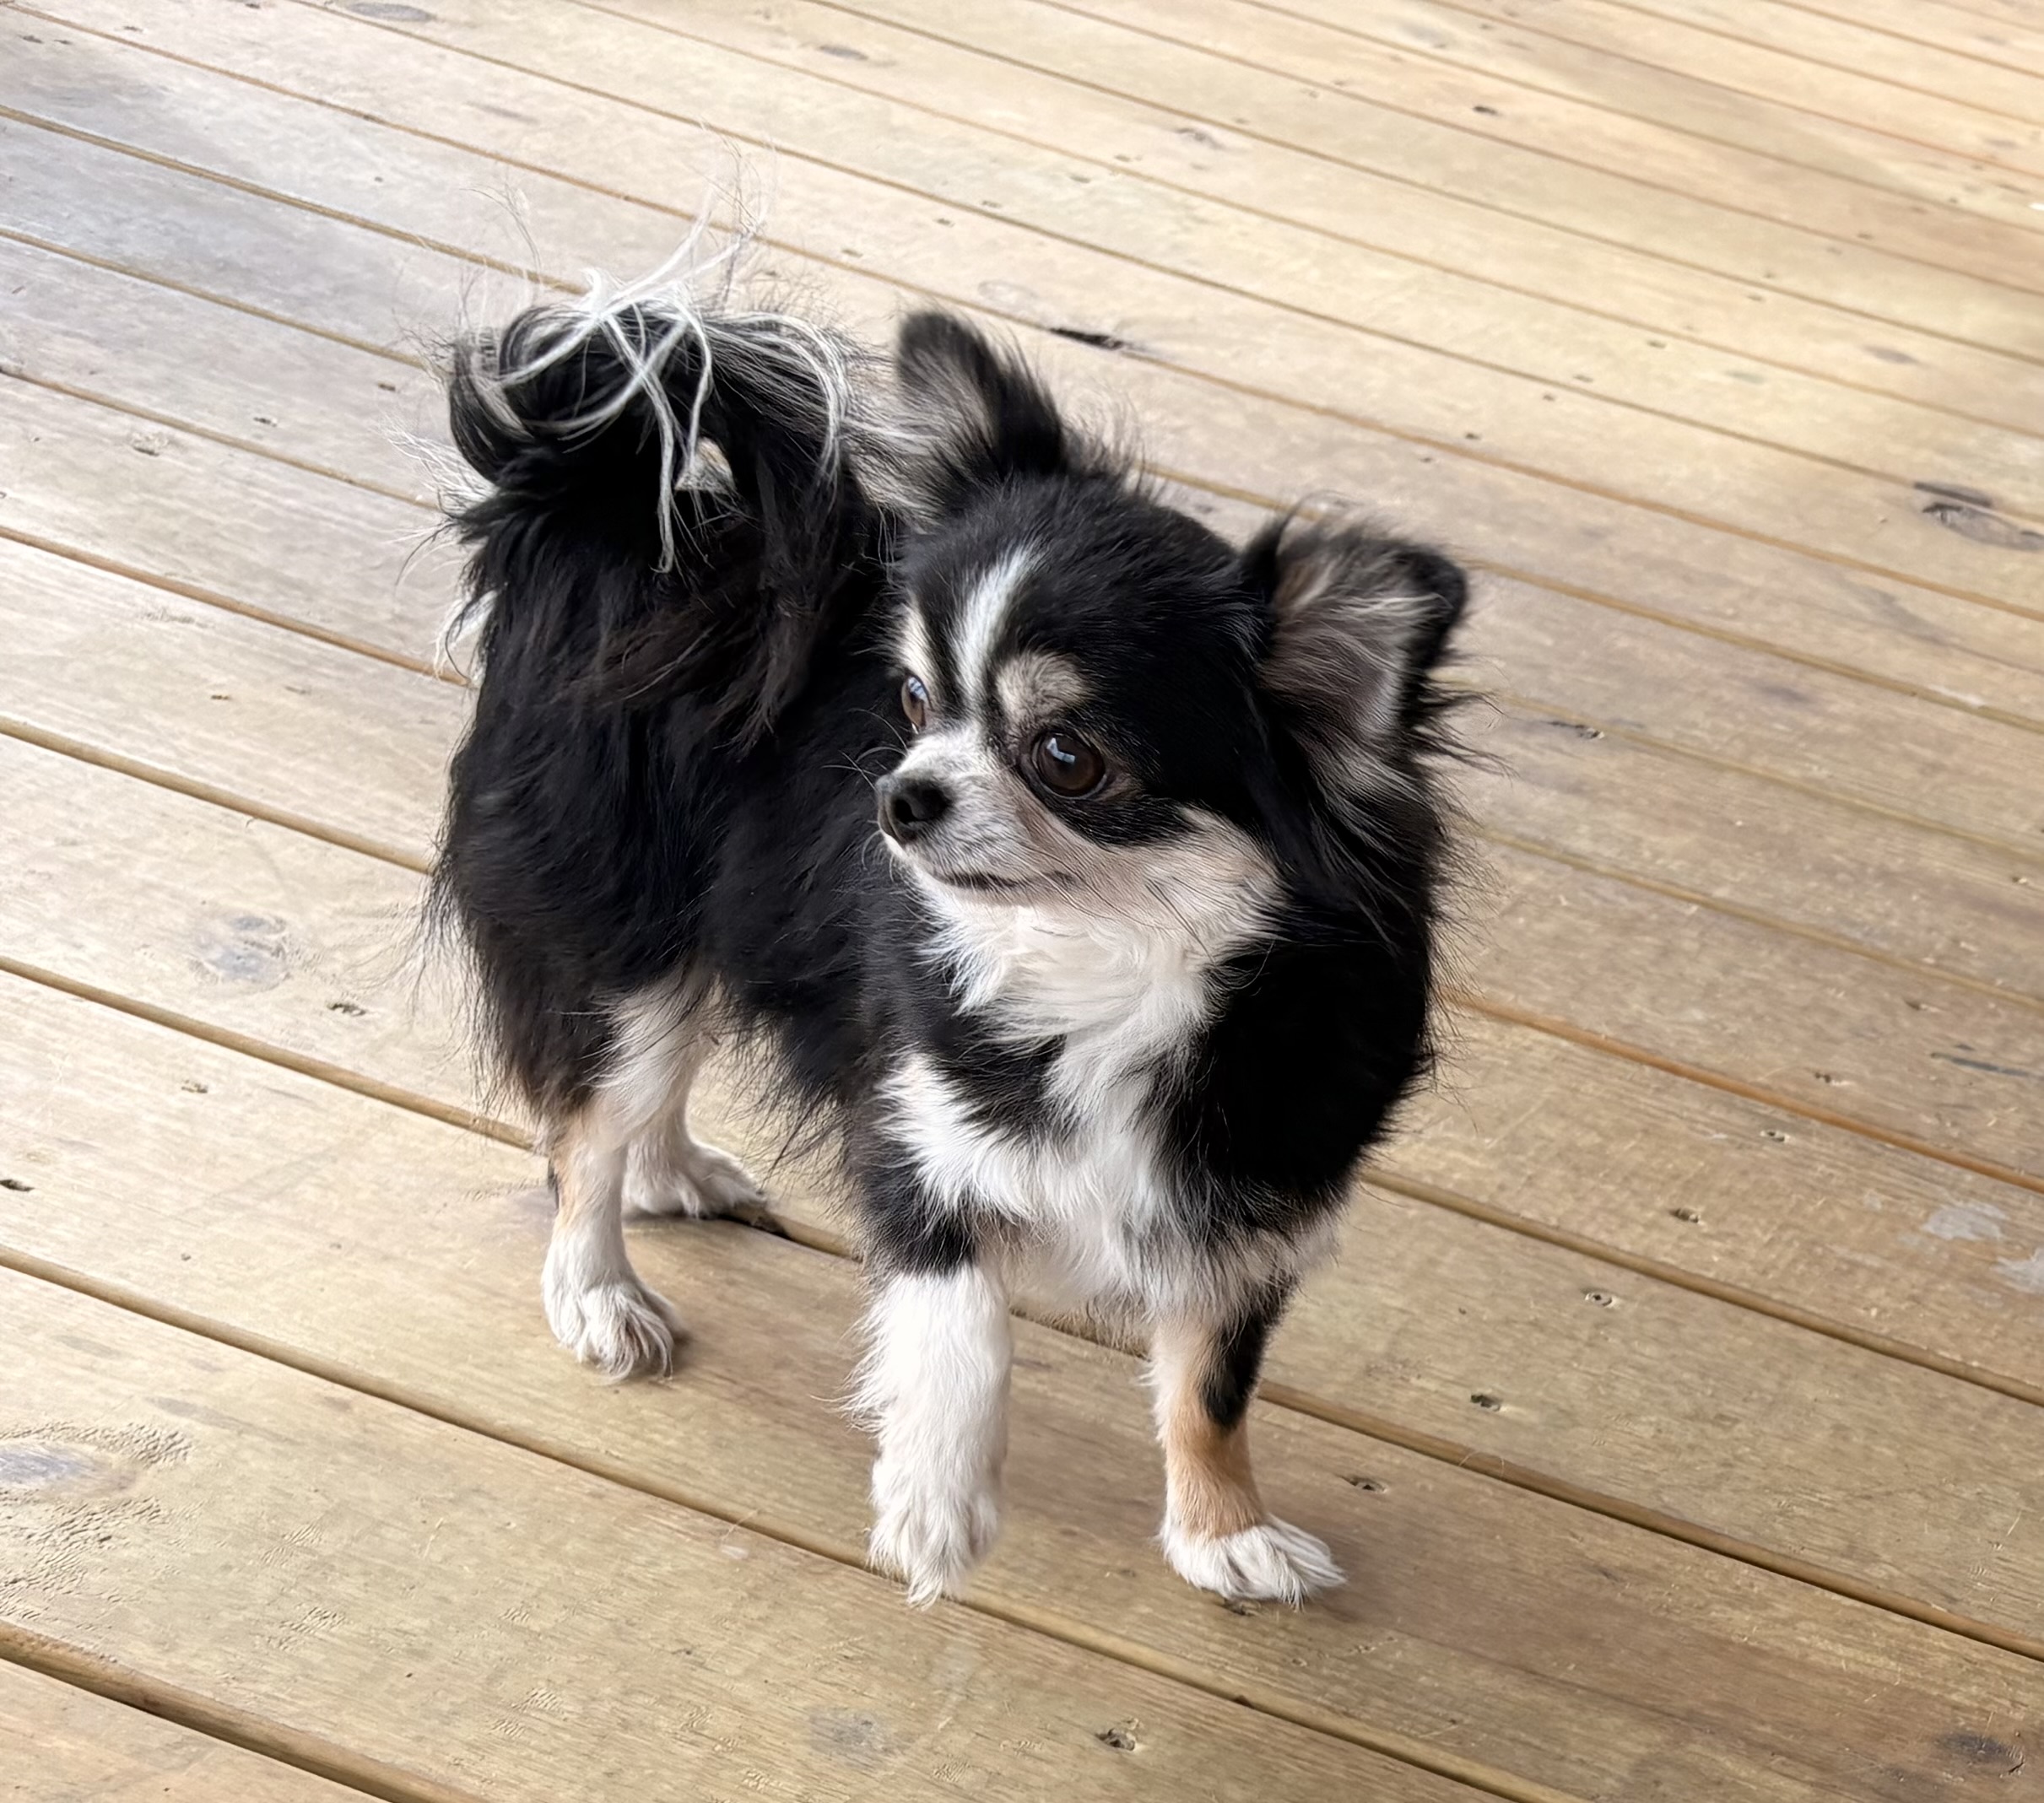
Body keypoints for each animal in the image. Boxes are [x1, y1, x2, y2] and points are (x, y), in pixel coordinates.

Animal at [433, 283, 1467, 1606]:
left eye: (1067, 757)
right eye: (916, 703)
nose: (901, 795)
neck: (1105, 966)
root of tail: (625, 518)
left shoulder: (1248, 1198)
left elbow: (1211, 1384)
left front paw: (1221, 1530)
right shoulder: (921, 1139)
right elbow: (960, 1317)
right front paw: (934, 1500)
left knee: (639, 1096)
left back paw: (673, 1173)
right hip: (625, 953)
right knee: (585, 1126)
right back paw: (598, 1291)